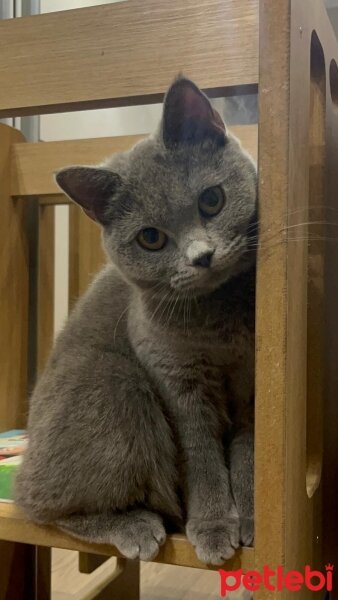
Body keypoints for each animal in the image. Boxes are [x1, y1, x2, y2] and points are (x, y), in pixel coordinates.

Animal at [15, 77, 256, 564]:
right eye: (150, 238)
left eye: (212, 200)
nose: (202, 256)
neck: (217, 323)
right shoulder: (172, 374)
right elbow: (201, 451)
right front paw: (213, 526)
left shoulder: (255, 372)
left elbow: (248, 445)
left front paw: (255, 515)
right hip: (113, 381)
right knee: (39, 507)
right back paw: (136, 526)